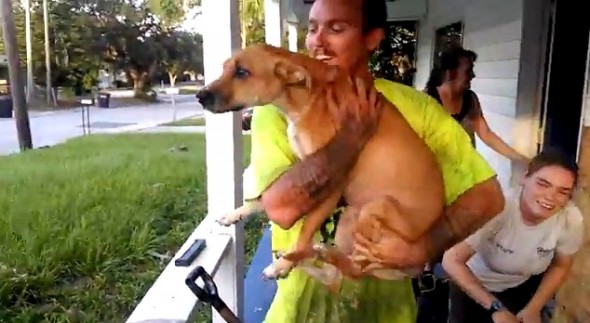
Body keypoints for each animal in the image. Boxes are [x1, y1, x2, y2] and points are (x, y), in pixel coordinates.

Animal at [199, 45, 444, 284]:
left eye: (242, 72)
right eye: (224, 68)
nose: (200, 95)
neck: (306, 98)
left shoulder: (332, 186)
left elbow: (305, 231)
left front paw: (282, 266)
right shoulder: (307, 171)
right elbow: (262, 199)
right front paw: (235, 213)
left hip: (372, 211)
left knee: (355, 270)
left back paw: (301, 257)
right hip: (350, 220)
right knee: (337, 275)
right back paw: (312, 257)